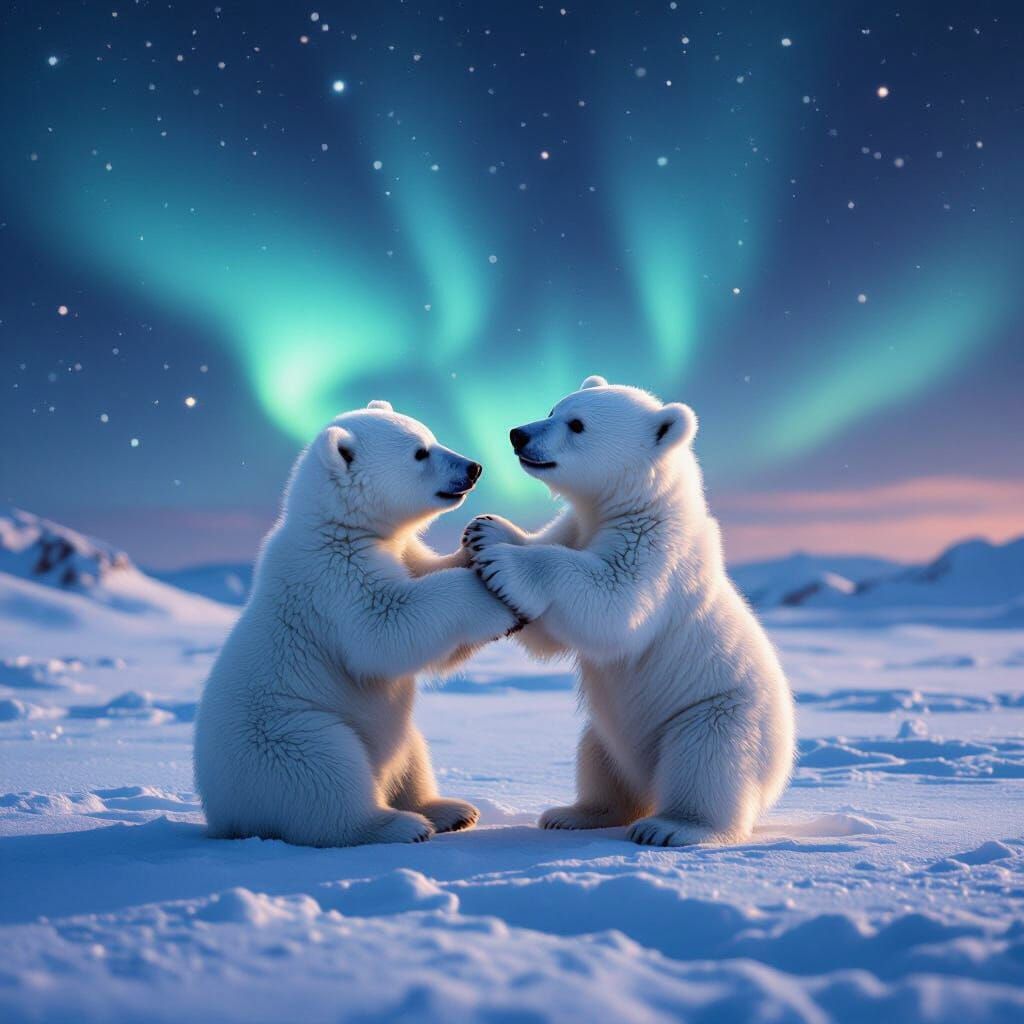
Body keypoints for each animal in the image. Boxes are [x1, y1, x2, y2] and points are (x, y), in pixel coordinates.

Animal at [194, 400, 519, 847]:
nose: (473, 467)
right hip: (284, 734)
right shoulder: (333, 577)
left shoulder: (400, 552)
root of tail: (220, 813)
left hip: (389, 739)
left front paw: (479, 544)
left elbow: (426, 591)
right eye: (420, 453)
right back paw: (398, 825)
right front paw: (496, 599)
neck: (339, 526)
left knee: (411, 753)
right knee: (327, 773)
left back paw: (451, 810)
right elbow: (384, 630)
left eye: (431, 437)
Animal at [464, 376, 795, 847]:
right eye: (552, 409)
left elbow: (615, 603)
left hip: (715, 713)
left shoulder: (656, 552)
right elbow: (551, 632)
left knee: (707, 763)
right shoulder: (577, 528)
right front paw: (487, 528)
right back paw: (574, 814)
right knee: (597, 758)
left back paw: (673, 827)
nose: (517, 434)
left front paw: (501, 558)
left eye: (577, 424)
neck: (637, 504)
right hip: (609, 734)